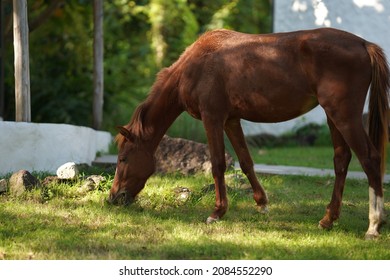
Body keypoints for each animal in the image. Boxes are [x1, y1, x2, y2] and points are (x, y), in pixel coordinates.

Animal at [107, 27, 390, 238]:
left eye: (122, 158)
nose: (112, 198)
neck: (195, 65)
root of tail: (363, 44)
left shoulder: (213, 118)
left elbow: (218, 164)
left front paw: (217, 213)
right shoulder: (231, 120)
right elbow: (245, 161)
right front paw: (262, 203)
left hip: (344, 116)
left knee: (370, 159)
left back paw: (373, 225)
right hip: (333, 117)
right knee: (342, 160)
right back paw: (328, 219)